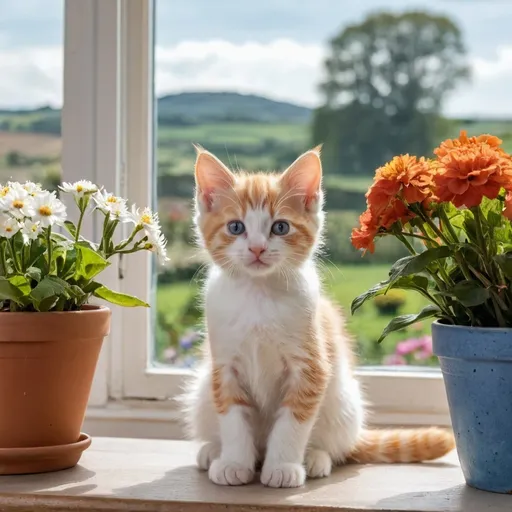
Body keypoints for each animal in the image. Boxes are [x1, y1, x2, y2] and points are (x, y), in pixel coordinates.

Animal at [181, 147, 456, 488]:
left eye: (280, 227)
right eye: (235, 227)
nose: (257, 248)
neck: (259, 293)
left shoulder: (310, 366)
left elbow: (293, 421)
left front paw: (283, 467)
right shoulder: (224, 367)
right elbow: (233, 418)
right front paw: (234, 462)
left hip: (343, 400)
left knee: (339, 448)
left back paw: (315, 458)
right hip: (203, 390)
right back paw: (212, 452)